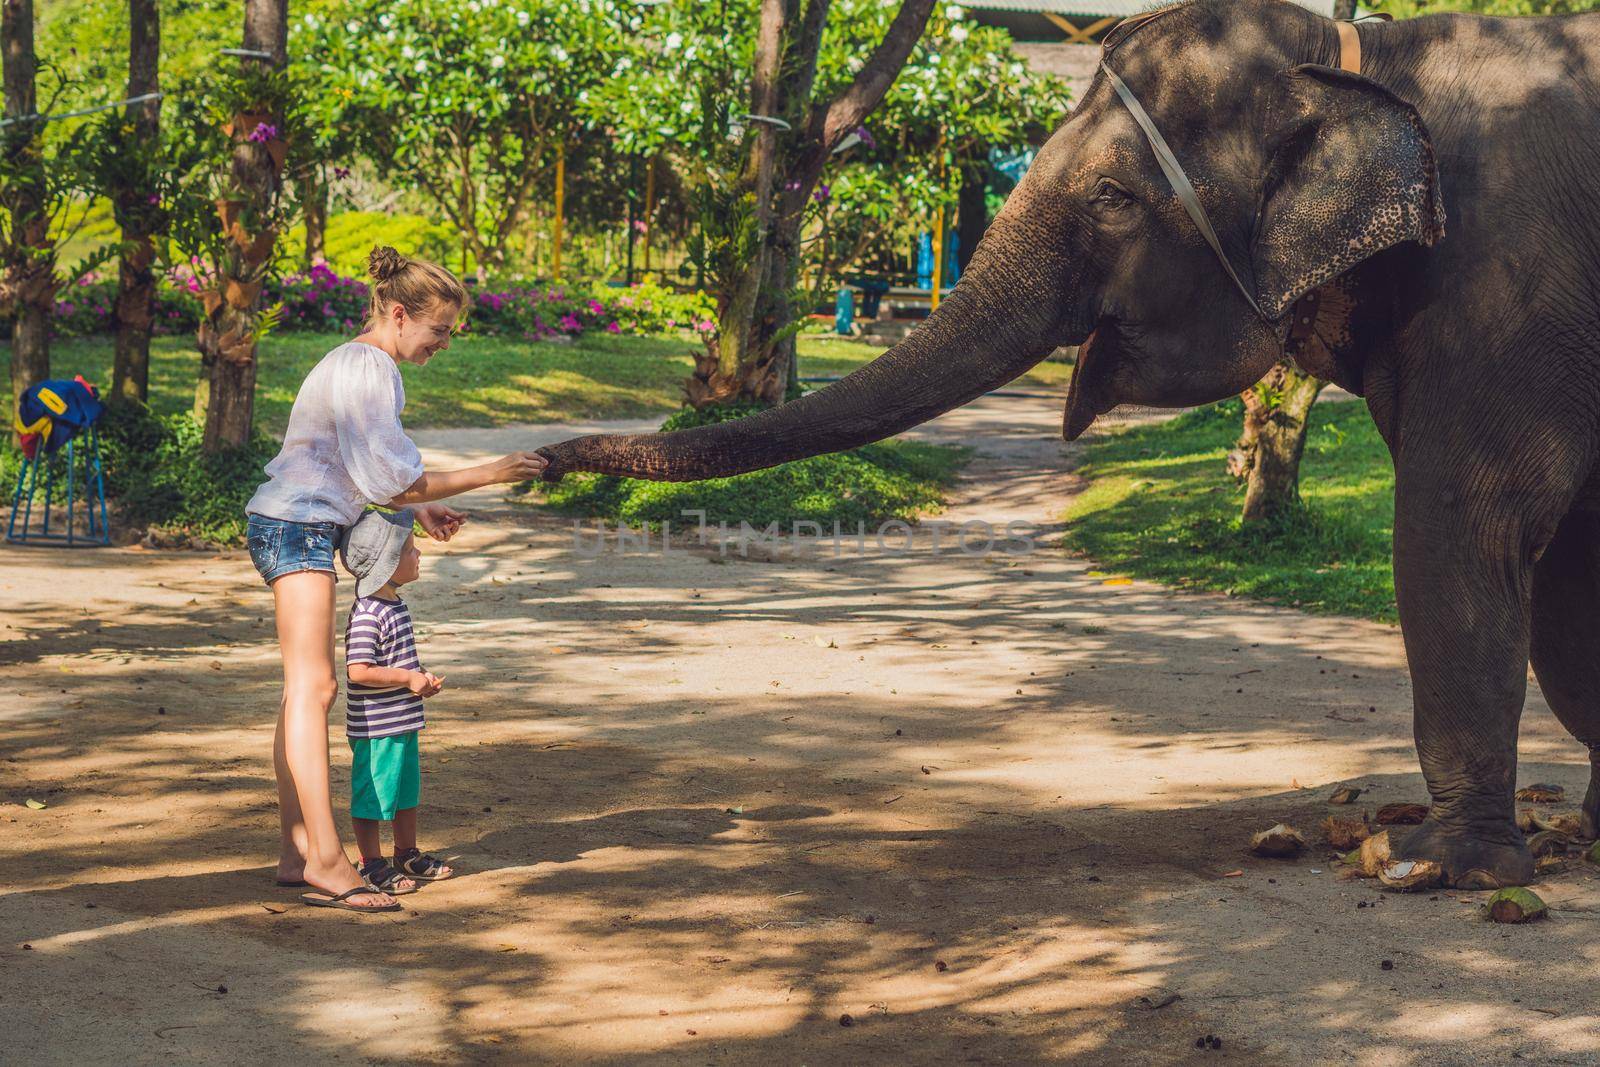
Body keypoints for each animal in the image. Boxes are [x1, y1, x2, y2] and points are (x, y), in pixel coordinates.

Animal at [537, 0, 1600, 889]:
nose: (540, 458)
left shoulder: (1507, 286)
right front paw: (1583, 835)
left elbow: (1468, 524)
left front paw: (1442, 868)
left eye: (1113, 198)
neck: (1366, 57)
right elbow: (1567, 570)